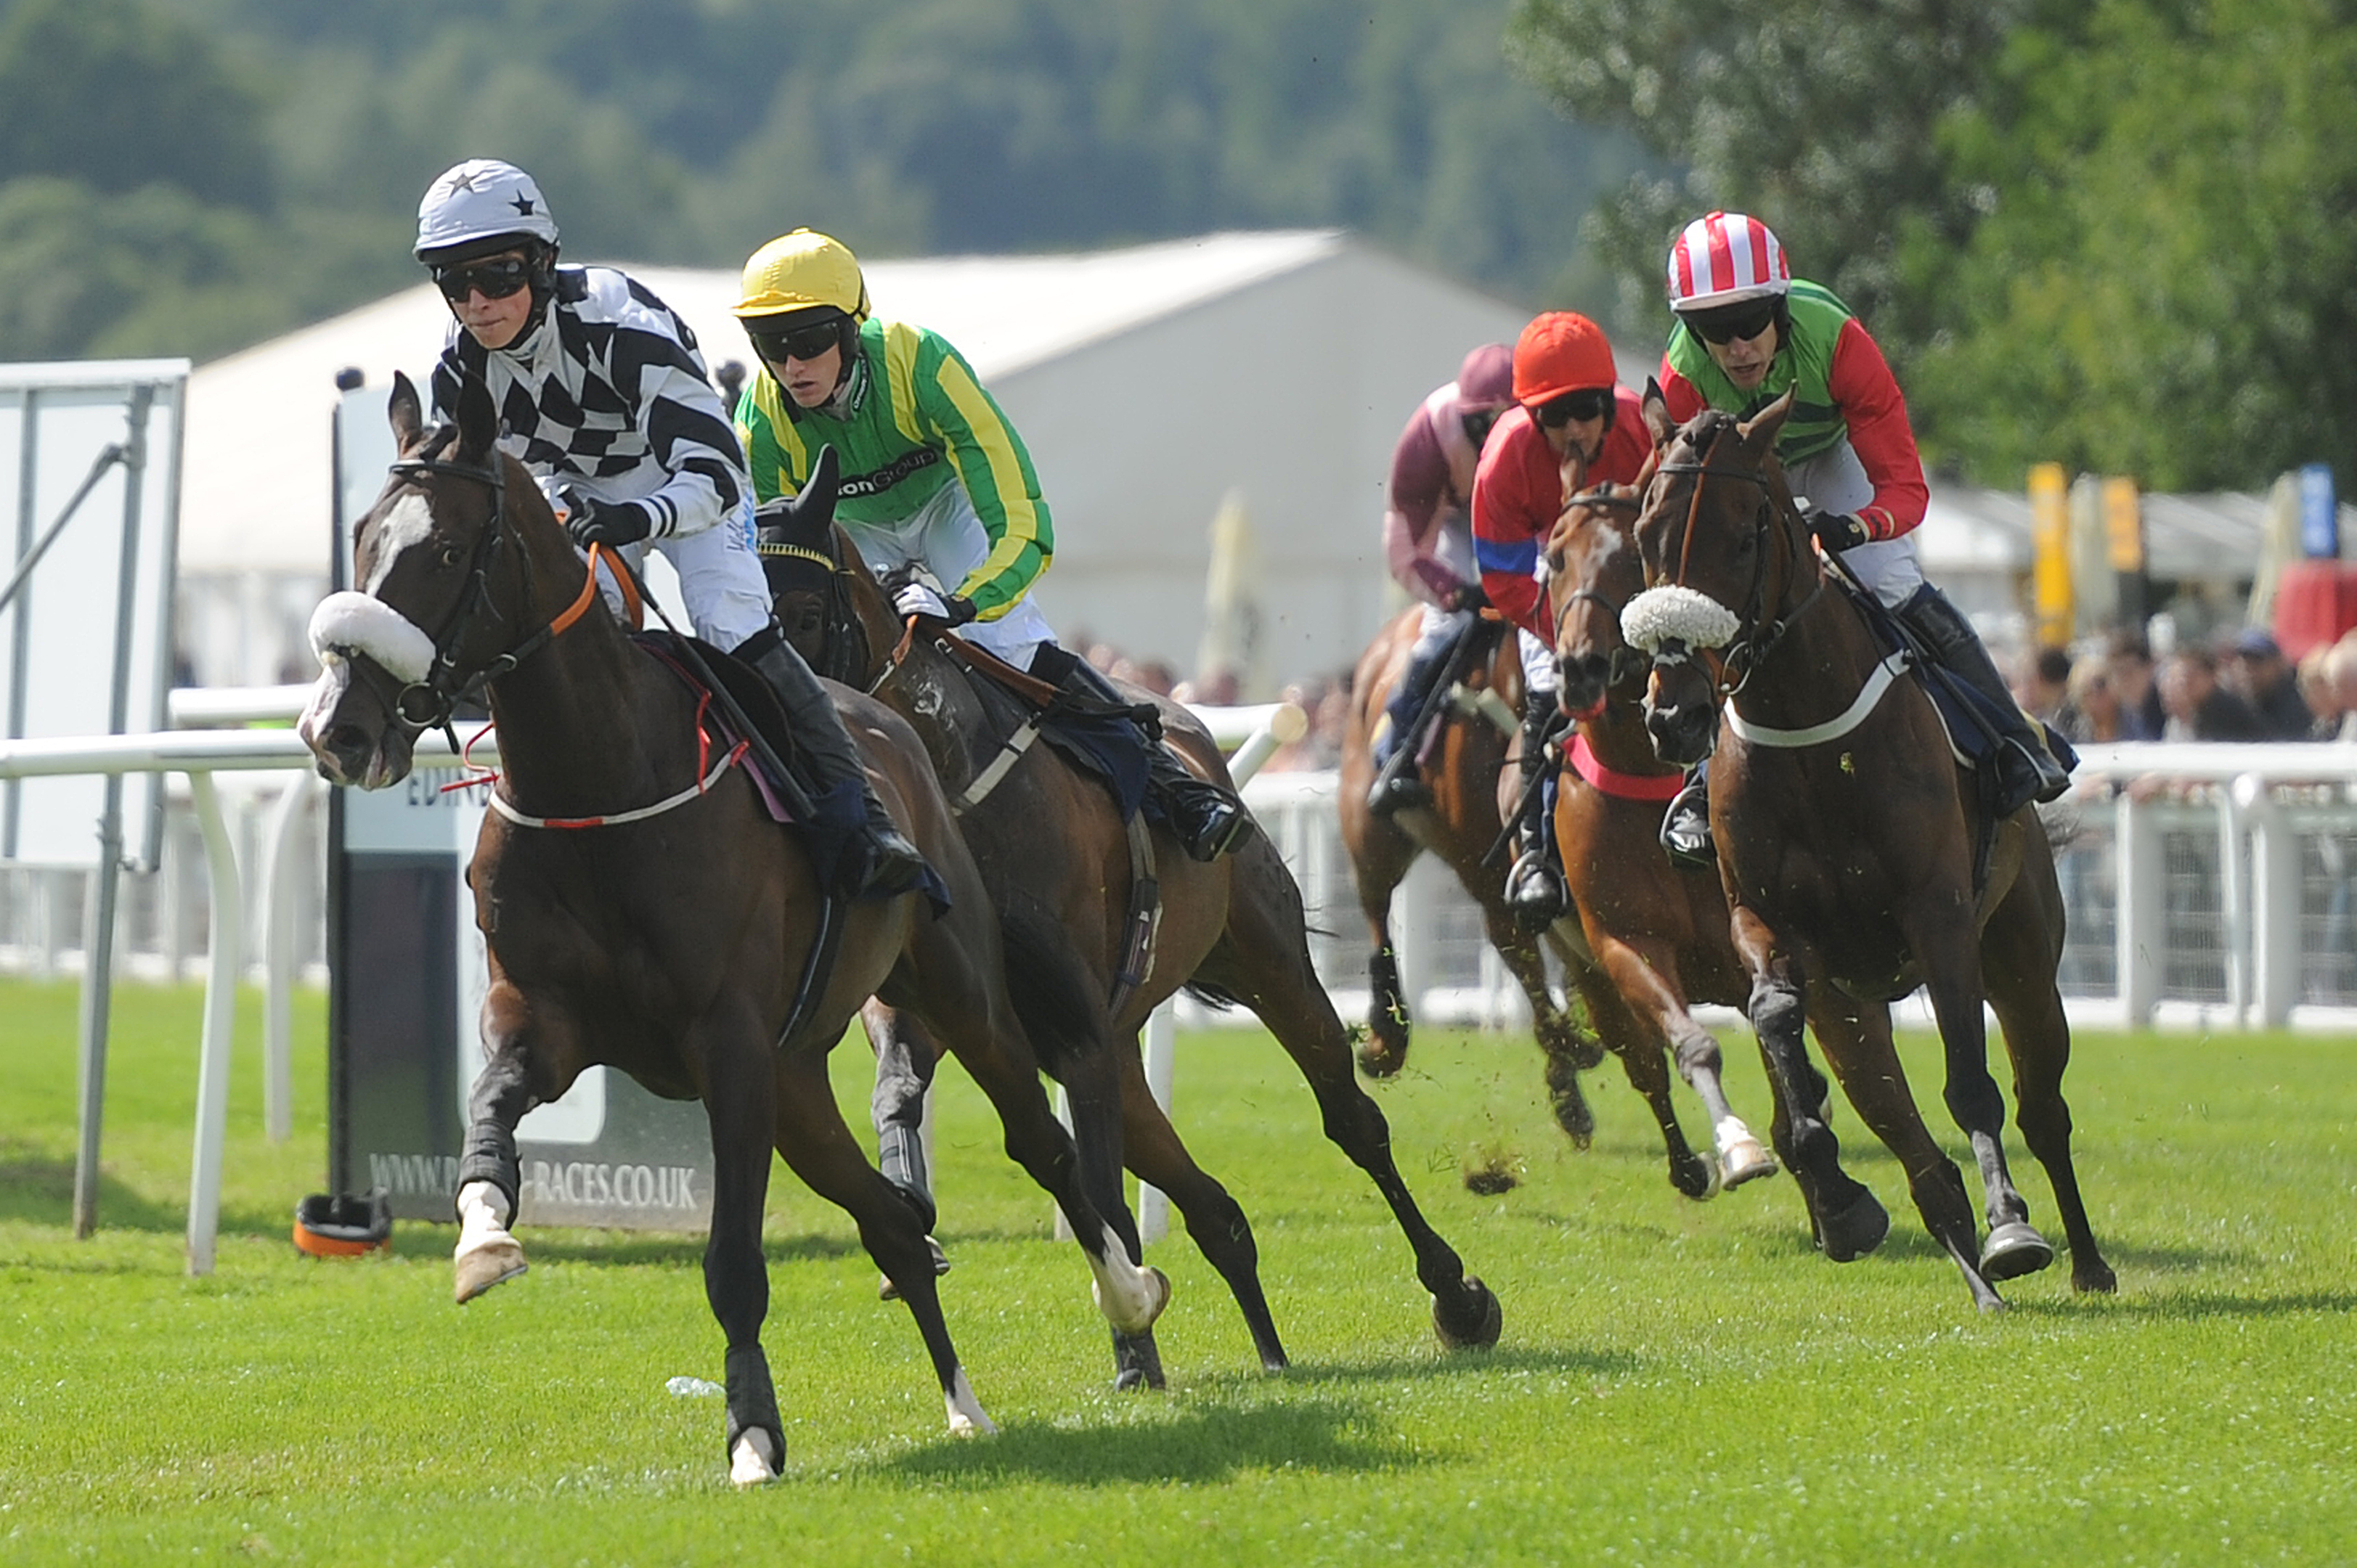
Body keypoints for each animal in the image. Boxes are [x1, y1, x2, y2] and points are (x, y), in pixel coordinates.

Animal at [299, 377, 1173, 1480]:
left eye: (448, 551)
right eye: (362, 538)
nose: (339, 728)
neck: (601, 786)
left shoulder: (728, 1047)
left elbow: (732, 1261)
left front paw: (753, 1436)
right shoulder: (544, 1016)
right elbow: (489, 1105)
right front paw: (483, 1238)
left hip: (952, 995)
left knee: (1041, 1142)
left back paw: (1130, 1294)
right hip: (798, 1080)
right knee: (892, 1222)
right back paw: (964, 1407)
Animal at [763, 483, 1499, 1376]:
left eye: (804, 612)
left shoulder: (1076, 1030)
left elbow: (1101, 1191)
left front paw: (1134, 1353)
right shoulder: (946, 1010)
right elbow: (899, 1095)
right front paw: (916, 1229)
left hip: (1267, 961)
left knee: (1351, 1121)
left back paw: (1457, 1297)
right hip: (1125, 1049)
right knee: (1216, 1209)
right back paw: (1271, 1353)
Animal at [1338, 601, 1612, 1136]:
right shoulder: (1486, 872)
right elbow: (1524, 960)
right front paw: (1571, 1062)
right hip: (1370, 833)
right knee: (1377, 914)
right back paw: (1385, 1038)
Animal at [1621, 391, 2121, 1310]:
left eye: (1742, 536)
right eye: (1644, 533)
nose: (1672, 715)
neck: (1812, 741)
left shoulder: (1940, 915)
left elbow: (1971, 1084)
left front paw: (2012, 1227)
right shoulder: (1767, 924)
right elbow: (1774, 1021)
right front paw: (1837, 1201)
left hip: (2024, 959)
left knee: (2041, 1107)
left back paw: (2080, 1261)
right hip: (1852, 1003)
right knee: (1901, 1128)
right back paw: (1967, 1269)